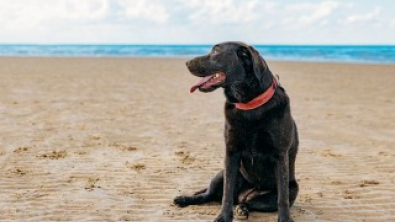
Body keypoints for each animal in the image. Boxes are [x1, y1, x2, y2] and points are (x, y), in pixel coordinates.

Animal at [175, 42, 298, 222]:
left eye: (216, 51)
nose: (186, 62)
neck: (249, 104)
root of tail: (245, 194)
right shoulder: (231, 153)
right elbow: (226, 193)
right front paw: (223, 217)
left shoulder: (280, 155)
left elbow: (282, 197)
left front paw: (285, 219)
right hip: (220, 175)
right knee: (209, 195)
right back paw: (185, 199)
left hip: (291, 190)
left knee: (250, 202)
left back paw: (243, 208)